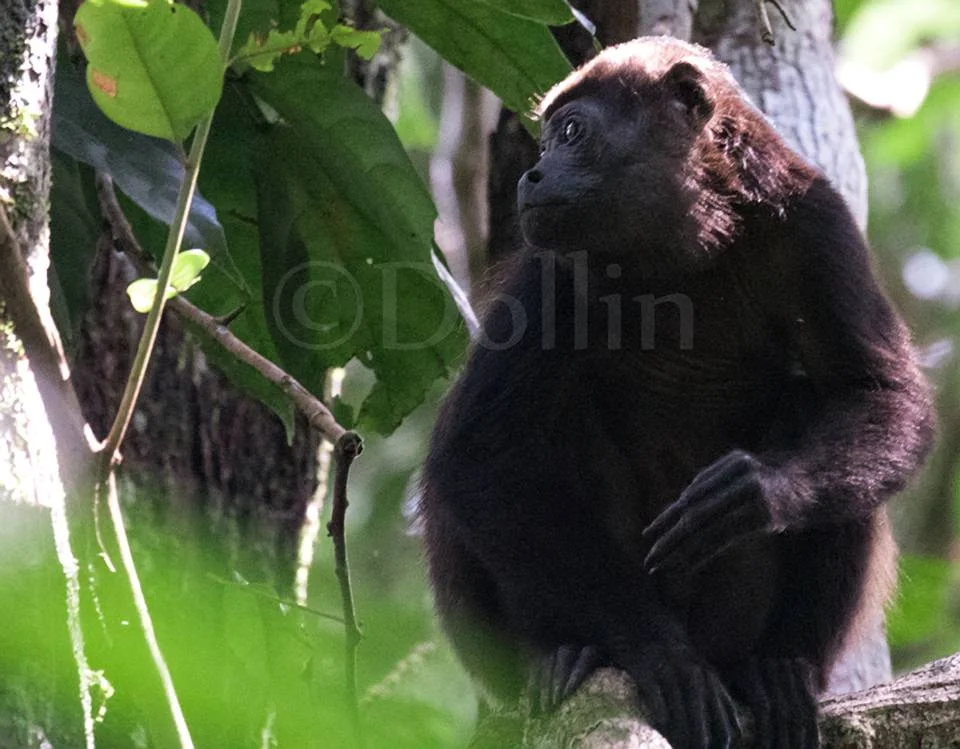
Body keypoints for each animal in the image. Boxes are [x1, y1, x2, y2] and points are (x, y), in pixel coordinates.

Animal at [419, 37, 934, 749]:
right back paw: (563, 659)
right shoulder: (551, 268)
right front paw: (659, 654)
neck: (684, 246)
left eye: (571, 133)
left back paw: (776, 669)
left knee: (827, 424)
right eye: (545, 140)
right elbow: (480, 452)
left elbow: (878, 395)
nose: (532, 175)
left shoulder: (815, 223)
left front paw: (757, 492)